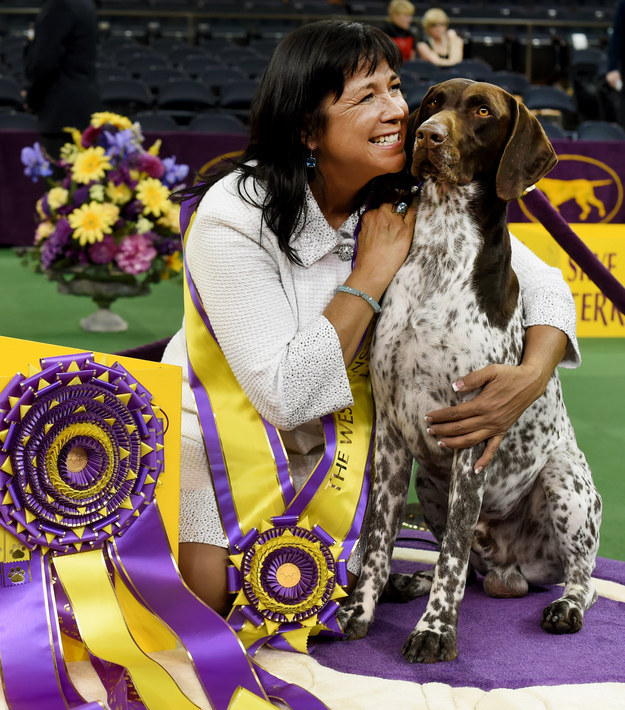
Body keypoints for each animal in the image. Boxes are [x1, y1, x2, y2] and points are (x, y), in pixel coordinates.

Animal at [338, 80, 604, 664]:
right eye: (434, 102)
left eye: (483, 110)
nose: (426, 136)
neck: (441, 248)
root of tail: (511, 570)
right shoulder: (392, 438)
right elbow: (377, 540)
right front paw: (359, 610)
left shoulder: (472, 435)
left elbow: (453, 557)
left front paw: (436, 631)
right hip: (430, 485)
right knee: (462, 567)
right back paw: (408, 583)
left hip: (564, 482)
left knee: (580, 578)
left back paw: (565, 607)